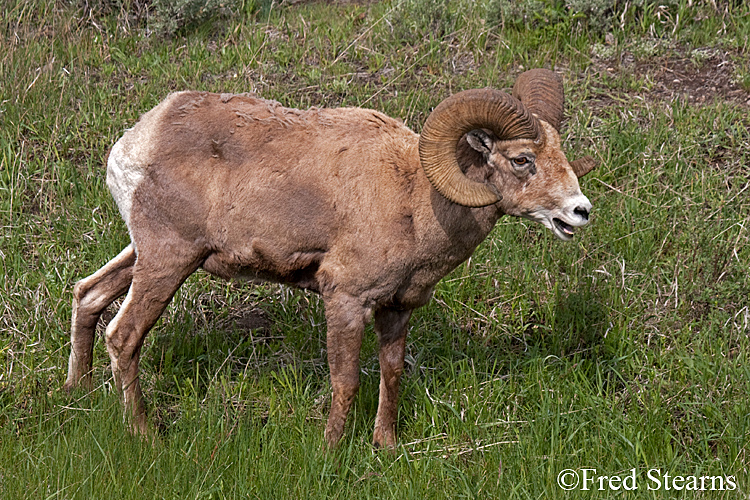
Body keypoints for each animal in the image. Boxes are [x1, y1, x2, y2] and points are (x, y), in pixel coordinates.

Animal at [64, 68, 596, 448]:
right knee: (124, 336)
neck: (414, 197)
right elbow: (346, 381)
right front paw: (331, 450)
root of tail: (134, 144)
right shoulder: (345, 300)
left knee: (88, 294)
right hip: (167, 261)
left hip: (146, 256)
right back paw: (147, 437)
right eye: (522, 160)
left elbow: (391, 374)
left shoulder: (397, 309)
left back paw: (78, 395)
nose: (580, 211)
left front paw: (386, 446)